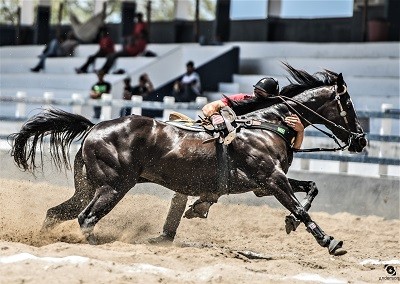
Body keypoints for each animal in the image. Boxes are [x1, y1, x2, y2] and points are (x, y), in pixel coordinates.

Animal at [10, 63, 366, 255]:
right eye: (348, 104)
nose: (361, 139)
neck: (265, 124)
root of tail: (94, 127)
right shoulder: (272, 180)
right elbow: (300, 208)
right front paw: (329, 241)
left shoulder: (265, 184)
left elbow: (312, 188)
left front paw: (292, 223)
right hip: (112, 187)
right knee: (85, 219)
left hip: (87, 188)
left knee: (56, 213)